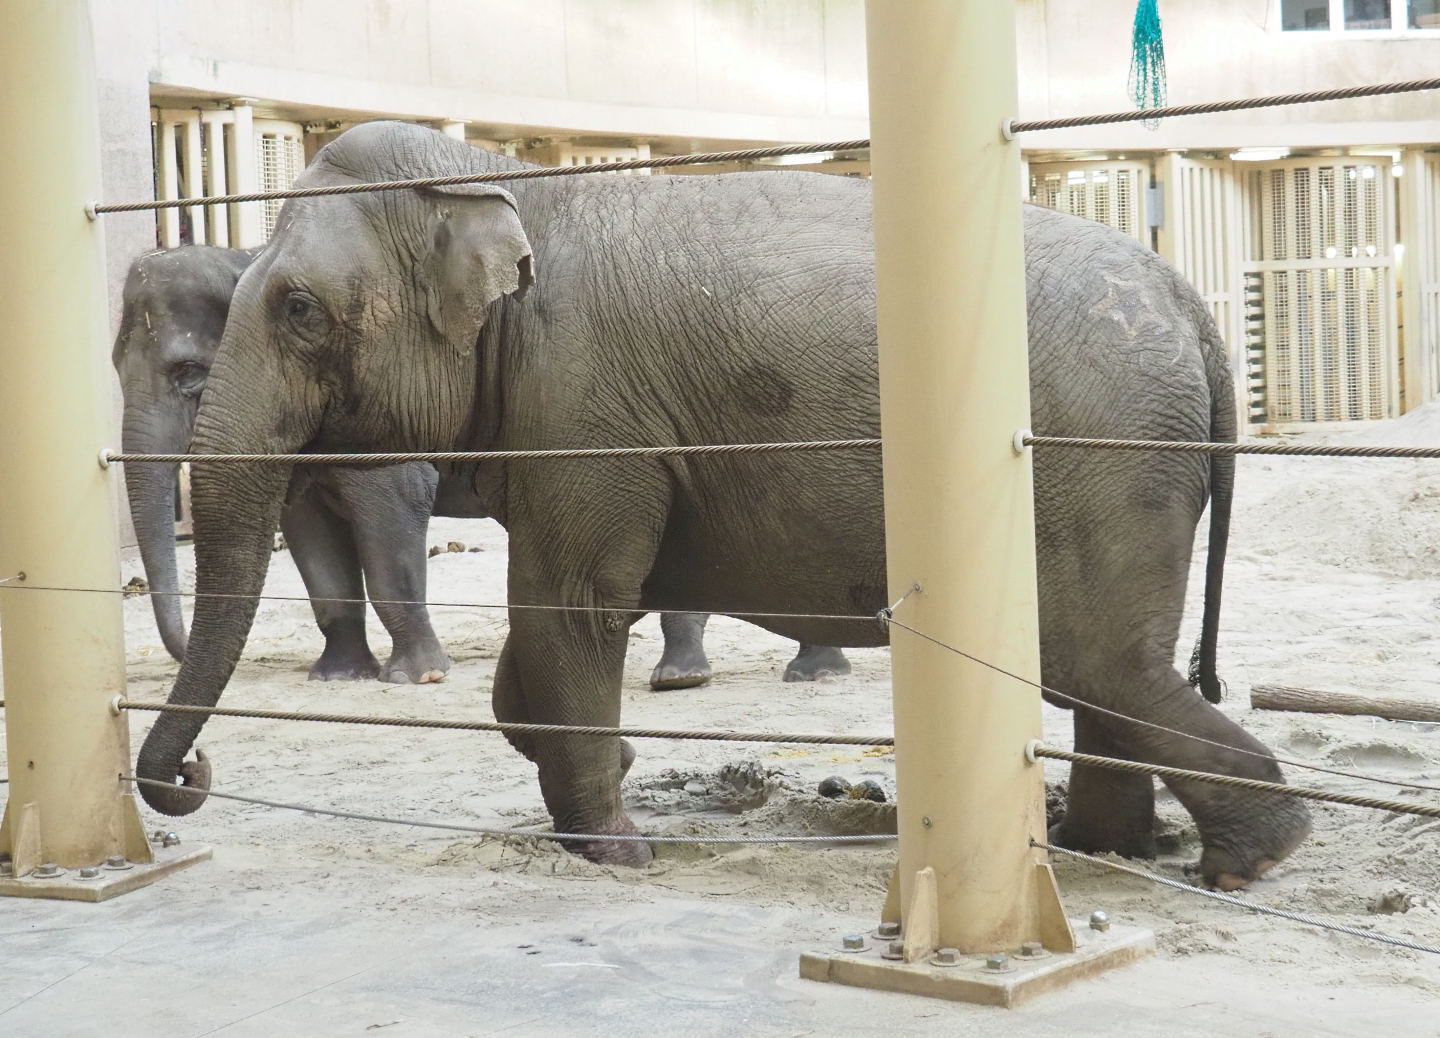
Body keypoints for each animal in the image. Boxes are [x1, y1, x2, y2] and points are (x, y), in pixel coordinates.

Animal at [112, 246, 846, 689]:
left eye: (188, 375)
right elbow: (312, 542)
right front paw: (338, 677)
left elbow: (391, 517)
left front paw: (417, 679)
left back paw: (743, 674)